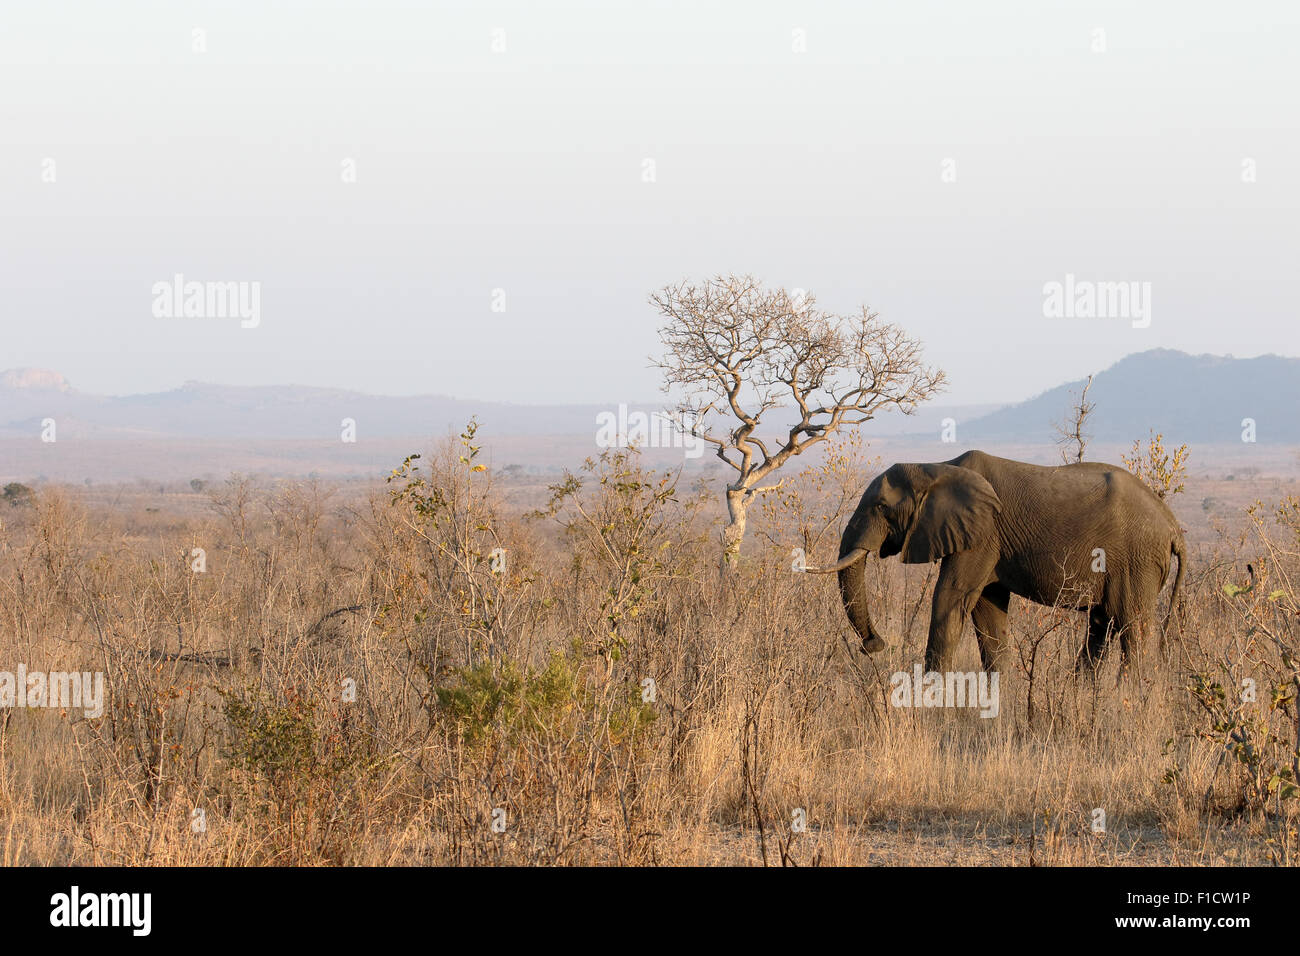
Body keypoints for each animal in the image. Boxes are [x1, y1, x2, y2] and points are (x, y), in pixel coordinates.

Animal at [811, 452, 1190, 676]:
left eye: (880, 508)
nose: (873, 644)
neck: (936, 466)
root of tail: (1174, 527)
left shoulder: (982, 534)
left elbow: (950, 598)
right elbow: (987, 610)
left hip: (1137, 560)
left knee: (1133, 629)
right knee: (1101, 627)